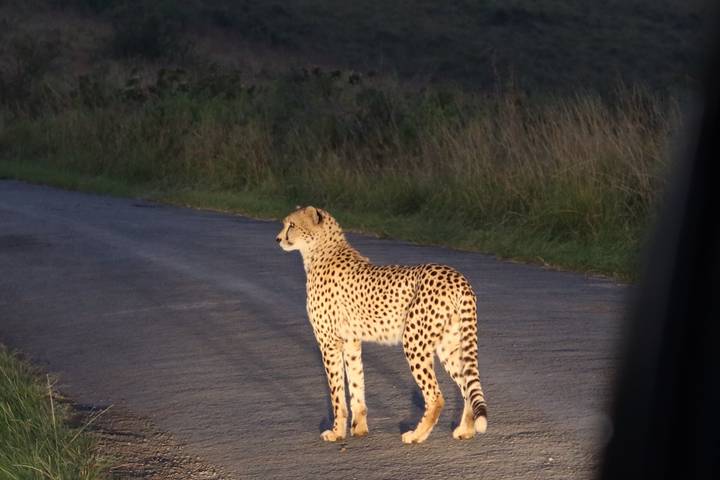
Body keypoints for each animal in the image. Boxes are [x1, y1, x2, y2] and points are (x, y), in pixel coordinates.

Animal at [276, 206, 488, 444]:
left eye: (291, 225)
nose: (278, 239)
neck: (321, 250)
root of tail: (457, 277)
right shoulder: (351, 342)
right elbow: (356, 384)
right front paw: (359, 429)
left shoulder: (329, 343)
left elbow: (337, 393)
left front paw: (337, 432)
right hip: (448, 345)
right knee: (467, 387)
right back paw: (466, 430)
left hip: (414, 342)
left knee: (436, 396)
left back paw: (416, 435)